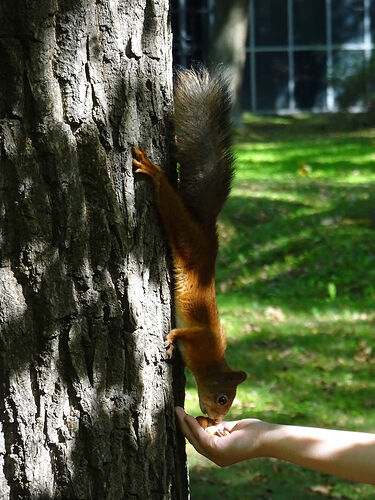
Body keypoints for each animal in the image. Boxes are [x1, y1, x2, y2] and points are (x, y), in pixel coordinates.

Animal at [132, 66, 247, 420]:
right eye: (223, 398)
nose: (216, 420)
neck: (212, 360)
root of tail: (206, 229)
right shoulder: (201, 336)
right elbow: (185, 333)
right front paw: (171, 338)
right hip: (185, 235)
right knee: (169, 205)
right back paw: (154, 173)